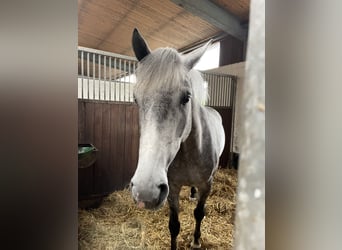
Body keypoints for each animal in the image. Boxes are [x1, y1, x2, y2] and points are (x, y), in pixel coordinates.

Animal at [130, 28, 224, 248]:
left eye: (186, 97)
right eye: (135, 99)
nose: (145, 191)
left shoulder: (207, 185)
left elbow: (199, 213)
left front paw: (196, 240)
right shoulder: (171, 188)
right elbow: (174, 225)